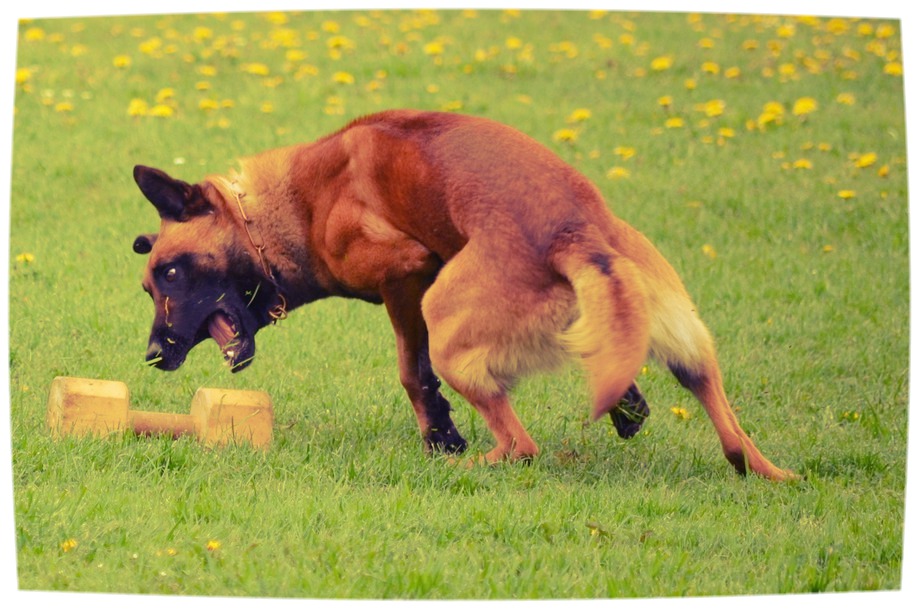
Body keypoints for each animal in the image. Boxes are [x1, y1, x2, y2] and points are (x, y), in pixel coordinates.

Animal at [132, 109, 794, 480]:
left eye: (171, 274)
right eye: (150, 283)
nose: (153, 354)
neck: (287, 206)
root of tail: (576, 231)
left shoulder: (408, 276)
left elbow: (412, 370)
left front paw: (440, 438)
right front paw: (629, 404)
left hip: (449, 326)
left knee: (521, 445)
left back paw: (471, 466)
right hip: (686, 338)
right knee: (725, 424)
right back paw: (768, 471)